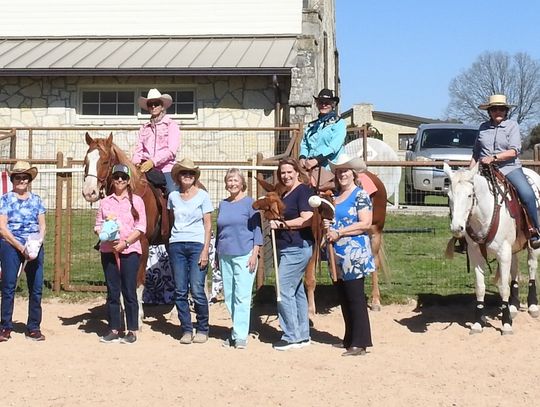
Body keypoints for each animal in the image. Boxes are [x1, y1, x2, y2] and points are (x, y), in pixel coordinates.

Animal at [254, 171, 386, 318]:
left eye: (281, 203)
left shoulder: (314, 248)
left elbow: (309, 279)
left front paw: (310, 309)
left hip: (375, 233)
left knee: (375, 264)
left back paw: (375, 301)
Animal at [442, 162, 540, 334]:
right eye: (449, 196)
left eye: (470, 195)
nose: (456, 228)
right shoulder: (475, 254)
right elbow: (480, 287)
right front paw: (478, 323)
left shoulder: (503, 253)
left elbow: (503, 288)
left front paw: (506, 323)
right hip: (513, 247)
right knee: (514, 270)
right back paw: (514, 306)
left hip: (532, 245)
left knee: (531, 266)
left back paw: (533, 306)